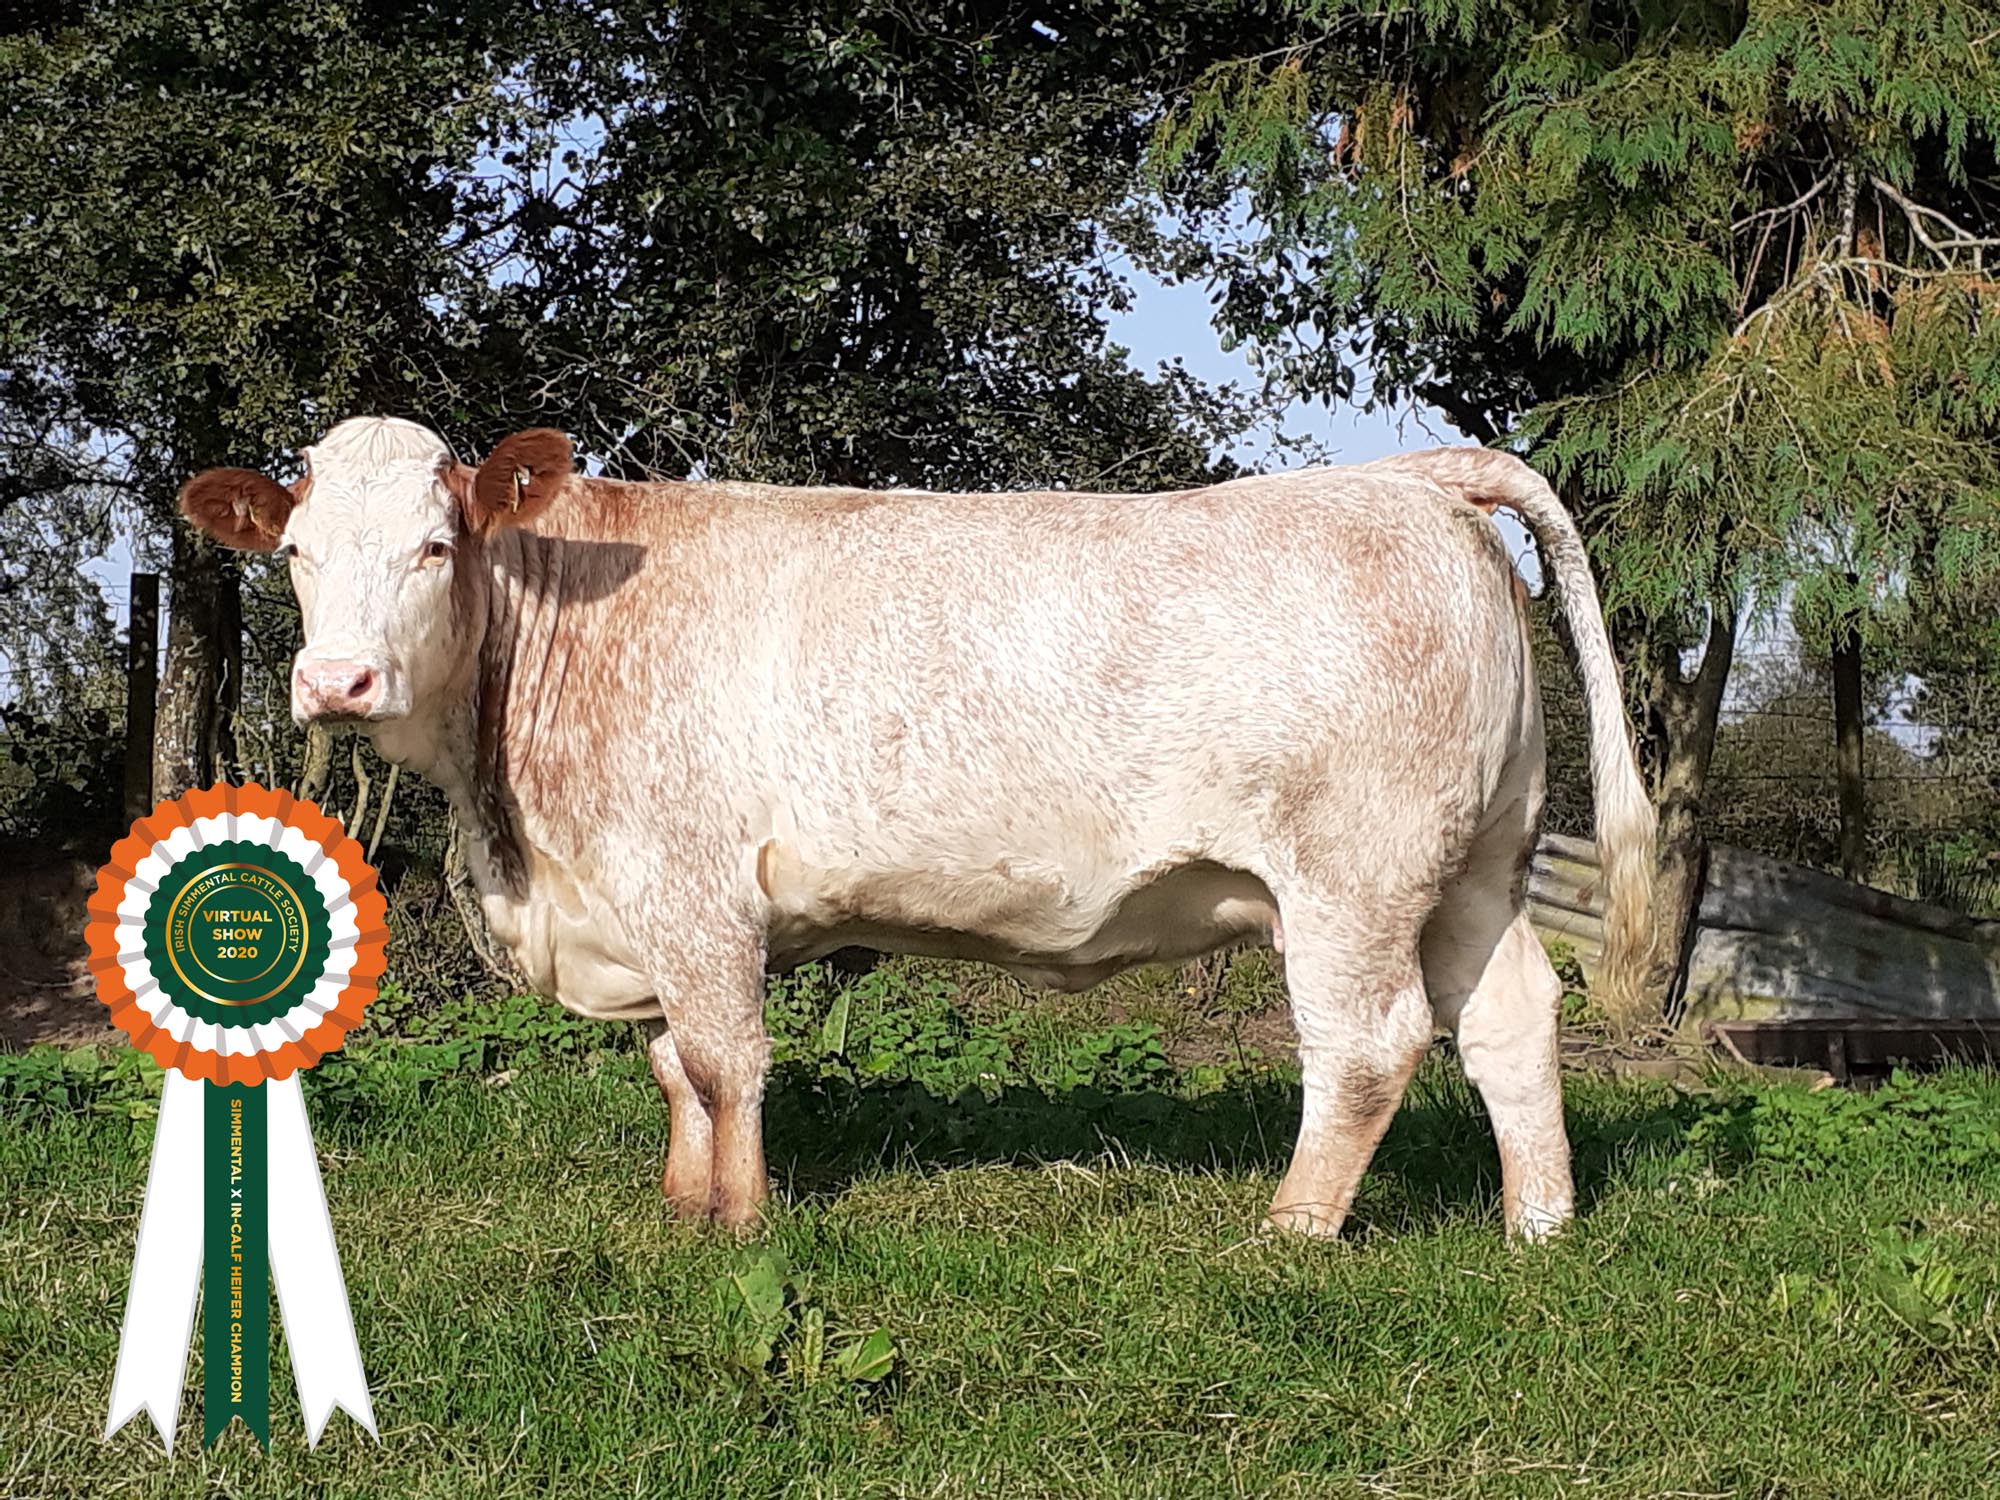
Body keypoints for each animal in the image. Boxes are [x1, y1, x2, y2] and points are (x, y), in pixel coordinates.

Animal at [180, 416, 1655, 1240]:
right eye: (295, 553)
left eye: (435, 546)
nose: (335, 682)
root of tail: (1407, 478)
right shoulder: (643, 910)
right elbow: (671, 1071)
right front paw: (680, 1205)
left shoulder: (693, 890)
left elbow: (723, 1063)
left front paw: (740, 1226)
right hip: (1475, 865)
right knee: (1510, 1015)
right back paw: (1537, 1223)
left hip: (1353, 877)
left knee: (1366, 1045)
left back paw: (1291, 1230)